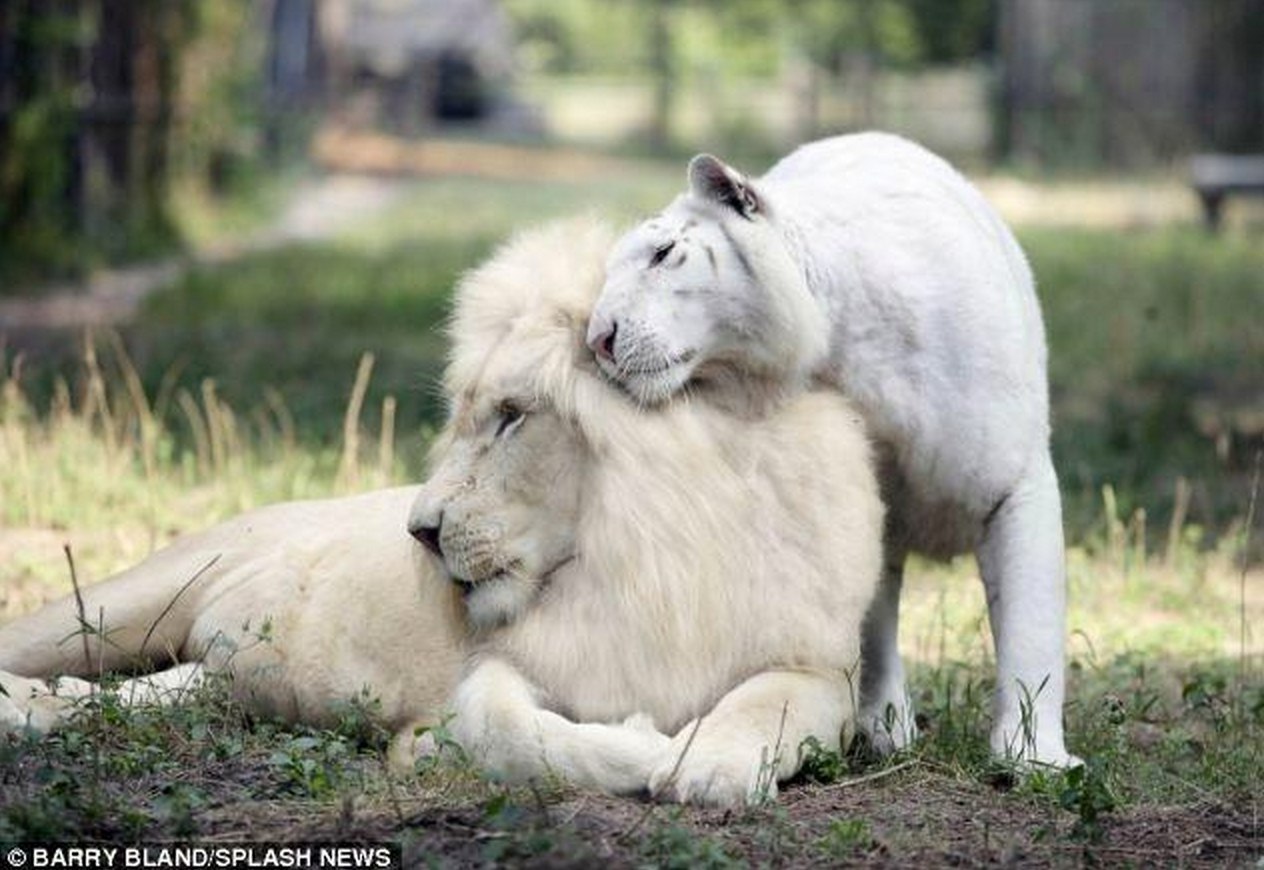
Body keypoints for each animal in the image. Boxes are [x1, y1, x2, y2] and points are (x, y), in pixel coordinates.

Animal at [0, 217, 879, 809]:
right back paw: (21, 704)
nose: (418, 533)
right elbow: (506, 732)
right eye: (465, 417)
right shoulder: (500, 670)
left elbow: (766, 702)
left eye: (512, 416)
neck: (645, 555)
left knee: (148, 691)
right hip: (121, 600)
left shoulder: (820, 668)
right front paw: (641, 746)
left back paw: (48, 708)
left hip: (211, 671)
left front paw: (710, 765)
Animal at [583, 132, 1076, 763]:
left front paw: (1034, 756)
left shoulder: (1014, 483)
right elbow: (870, 620)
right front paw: (887, 727)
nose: (598, 339)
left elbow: (1031, 625)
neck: (843, 343)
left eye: (663, 253)